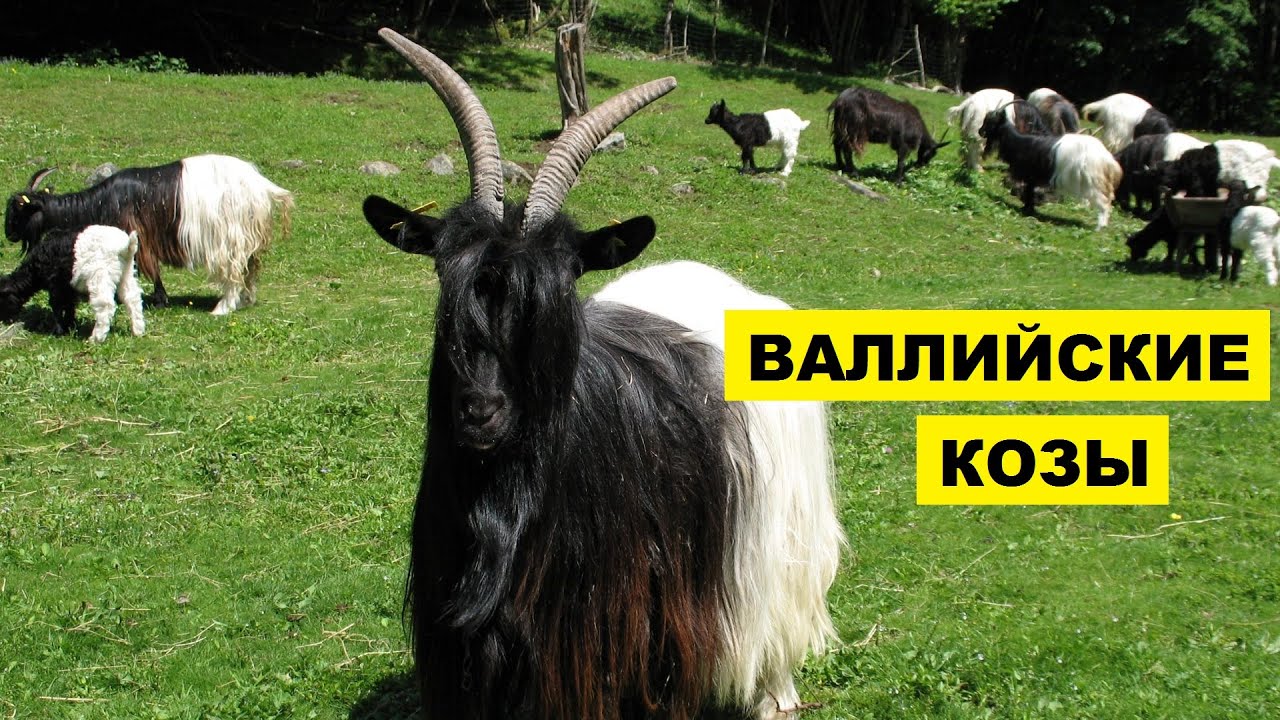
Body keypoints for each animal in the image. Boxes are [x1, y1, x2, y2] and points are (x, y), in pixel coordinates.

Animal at [0, 224, 145, 341]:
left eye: (3, 300)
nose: (5, 321)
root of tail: (125, 247)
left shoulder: (56, 284)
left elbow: (57, 306)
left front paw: (58, 331)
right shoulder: (68, 287)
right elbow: (70, 306)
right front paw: (70, 326)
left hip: (100, 276)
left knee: (105, 306)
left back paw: (96, 338)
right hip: (127, 273)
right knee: (133, 298)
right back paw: (138, 331)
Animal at [5, 155, 293, 314]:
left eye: (18, 209)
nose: (8, 235)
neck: (102, 202)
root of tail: (262, 187)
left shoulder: (137, 237)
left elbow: (147, 268)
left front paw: (158, 300)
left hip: (229, 236)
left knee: (234, 270)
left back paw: (223, 307)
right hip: (247, 236)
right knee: (251, 268)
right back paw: (245, 300)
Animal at [979, 108, 1121, 228]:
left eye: (990, 122)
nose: (980, 131)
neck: (1019, 143)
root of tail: (1107, 160)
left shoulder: (1030, 175)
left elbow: (1028, 191)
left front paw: (1027, 209)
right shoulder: (1033, 177)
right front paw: (1029, 208)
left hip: (1093, 182)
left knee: (1104, 202)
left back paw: (1100, 226)